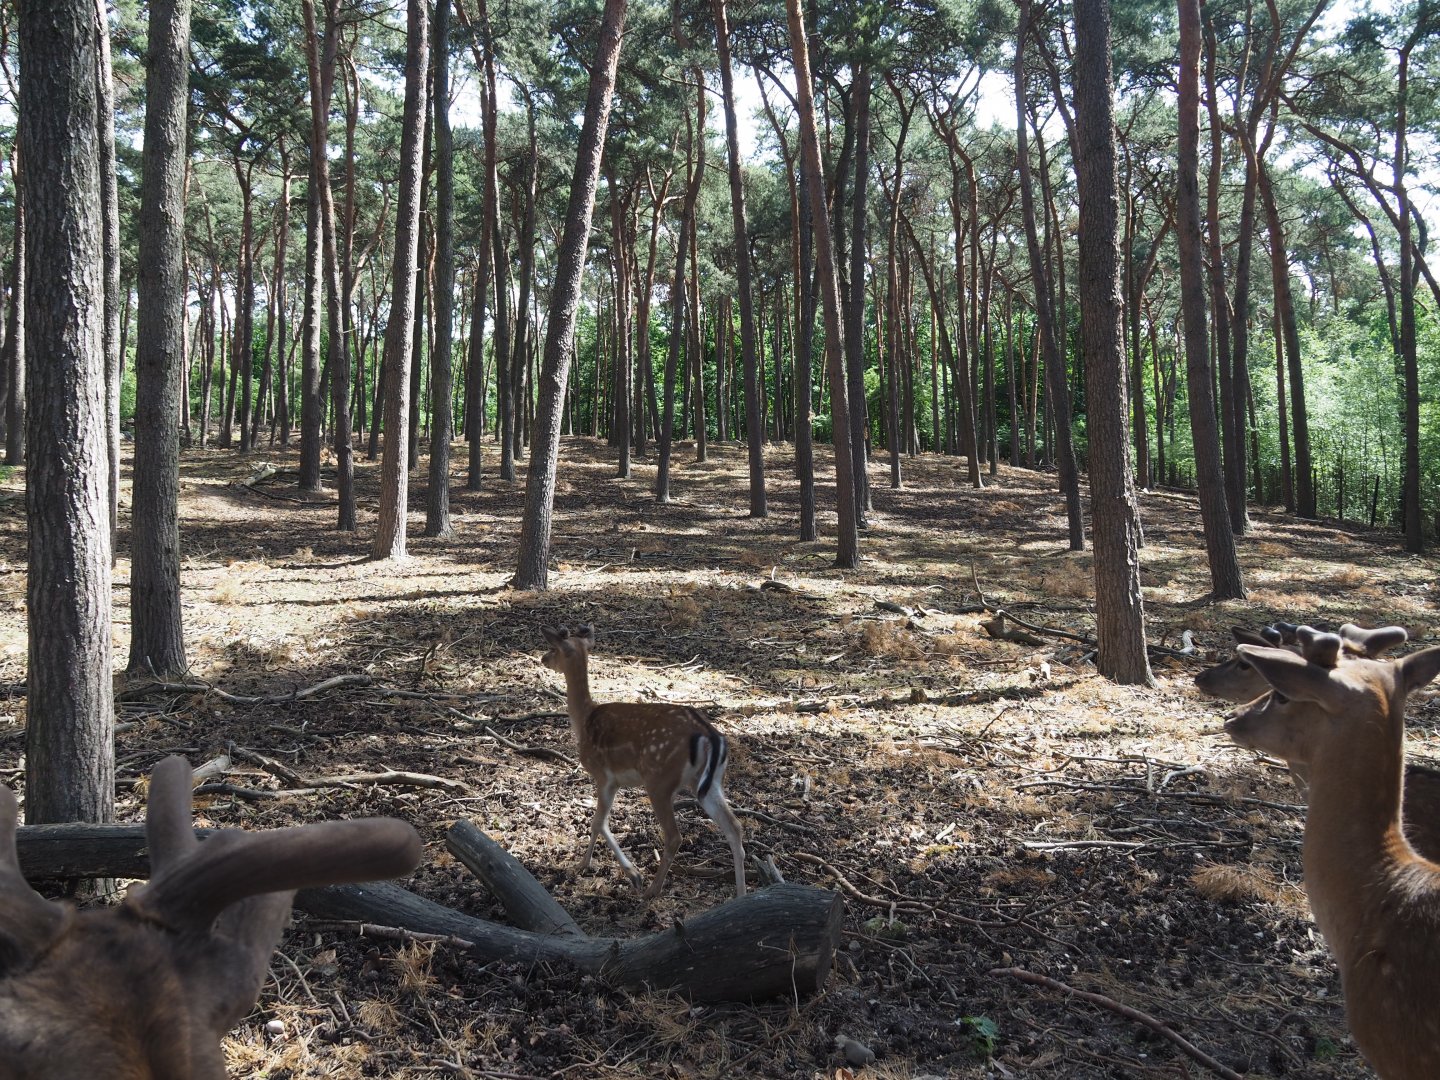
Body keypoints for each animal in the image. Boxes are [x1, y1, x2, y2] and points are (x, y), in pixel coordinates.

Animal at [540, 624, 747, 901]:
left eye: (553, 648)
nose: (543, 659)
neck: (583, 721)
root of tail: (710, 736)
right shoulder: (613, 781)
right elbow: (597, 823)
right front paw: (586, 864)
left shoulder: (604, 775)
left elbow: (598, 822)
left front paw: (630, 874)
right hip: (708, 783)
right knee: (734, 827)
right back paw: (742, 894)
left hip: (659, 779)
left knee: (674, 836)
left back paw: (651, 889)